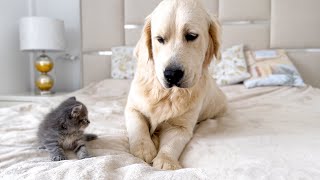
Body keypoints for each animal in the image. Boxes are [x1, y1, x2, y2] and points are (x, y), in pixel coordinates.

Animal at [124, 0, 226, 170]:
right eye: (159, 39)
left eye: (191, 36)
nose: (171, 74)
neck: (166, 93)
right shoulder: (132, 108)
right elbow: (138, 126)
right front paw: (143, 149)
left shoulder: (180, 127)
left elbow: (171, 145)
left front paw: (166, 161)